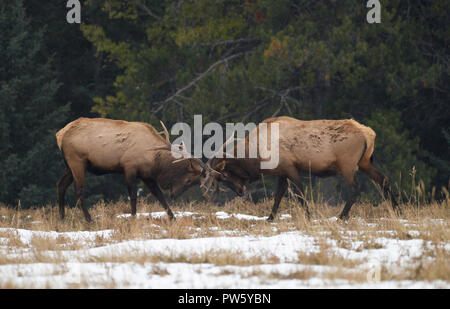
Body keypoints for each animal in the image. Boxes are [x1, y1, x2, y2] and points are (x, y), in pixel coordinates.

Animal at [55, 117, 211, 221]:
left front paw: (172, 218)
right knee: (79, 190)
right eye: (188, 180)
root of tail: (60, 135)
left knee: (61, 185)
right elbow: (133, 195)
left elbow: (159, 195)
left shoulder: (146, 174)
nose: (174, 195)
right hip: (77, 161)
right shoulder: (129, 167)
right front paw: (133, 217)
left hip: (69, 165)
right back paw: (89, 219)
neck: (154, 158)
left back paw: (62, 217)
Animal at [202, 115, 400, 219]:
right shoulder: (281, 172)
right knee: (384, 180)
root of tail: (370, 134)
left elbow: (299, 193)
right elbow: (278, 195)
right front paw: (270, 218)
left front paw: (309, 216)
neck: (258, 156)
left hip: (348, 164)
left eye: (224, 176)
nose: (240, 191)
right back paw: (397, 210)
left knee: (354, 189)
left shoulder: (290, 167)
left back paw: (341, 216)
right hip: (365, 162)